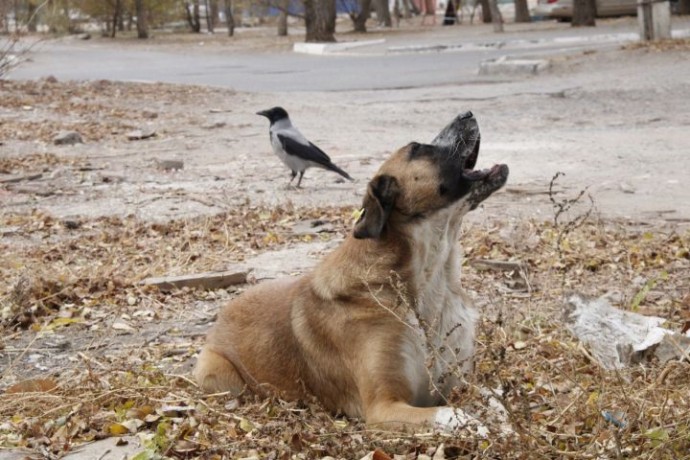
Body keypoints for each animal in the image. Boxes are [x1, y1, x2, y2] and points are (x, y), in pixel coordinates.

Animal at [194, 113, 506, 434]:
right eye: (417, 148)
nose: (467, 114)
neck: (432, 277)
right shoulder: (383, 408)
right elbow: (450, 413)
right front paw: (478, 426)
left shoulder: (457, 382)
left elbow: (492, 398)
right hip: (219, 374)